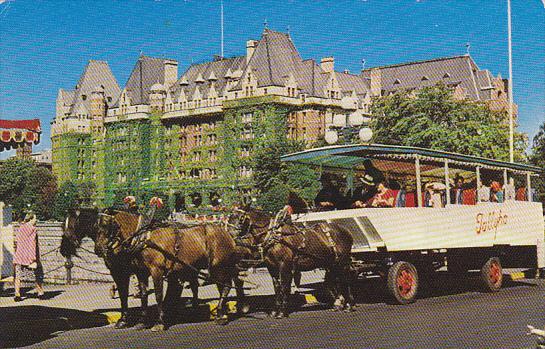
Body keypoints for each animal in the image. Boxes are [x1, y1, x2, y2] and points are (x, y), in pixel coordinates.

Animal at [98, 209, 249, 328]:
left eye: (106, 225)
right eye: (97, 226)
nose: (98, 249)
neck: (143, 238)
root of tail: (228, 234)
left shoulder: (156, 270)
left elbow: (158, 295)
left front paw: (159, 322)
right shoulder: (141, 272)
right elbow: (144, 295)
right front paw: (142, 321)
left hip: (219, 266)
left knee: (226, 285)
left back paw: (221, 314)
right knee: (223, 285)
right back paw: (221, 313)